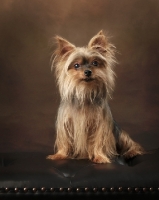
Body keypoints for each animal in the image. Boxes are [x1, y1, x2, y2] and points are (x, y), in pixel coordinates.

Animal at [47, 30, 144, 163]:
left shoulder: (100, 125)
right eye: (76, 65)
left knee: (133, 146)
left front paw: (100, 157)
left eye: (95, 63)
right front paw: (59, 155)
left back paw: (130, 153)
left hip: (121, 135)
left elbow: (99, 141)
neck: (85, 92)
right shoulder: (66, 125)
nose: (88, 72)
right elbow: (65, 141)